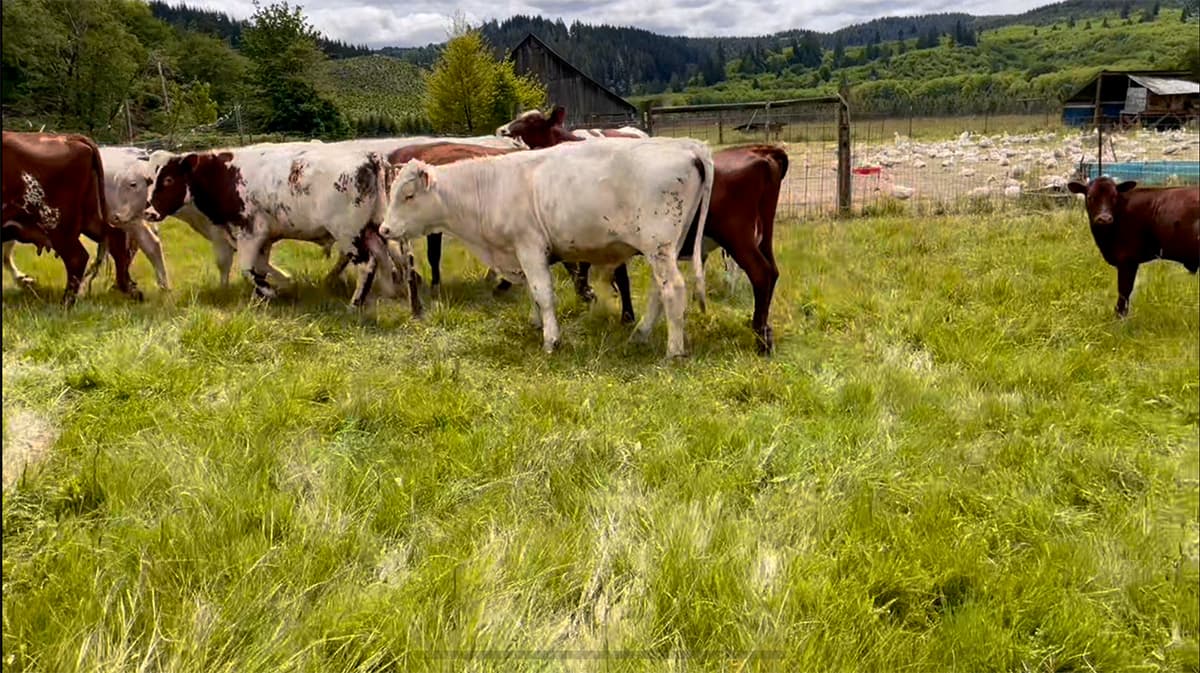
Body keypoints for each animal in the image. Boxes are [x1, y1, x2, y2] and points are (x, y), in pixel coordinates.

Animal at [2, 130, 141, 305]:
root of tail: (70, 138)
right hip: (90, 217)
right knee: (116, 239)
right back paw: (130, 289)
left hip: (56, 225)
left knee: (77, 257)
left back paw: (66, 302)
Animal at [144, 143, 419, 314]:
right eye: (149, 179)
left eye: (168, 179)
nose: (149, 212)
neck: (224, 175)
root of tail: (369, 157)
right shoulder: (263, 238)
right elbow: (260, 266)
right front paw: (273, 289)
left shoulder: (250, 232)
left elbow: (247, 269)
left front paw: (270, 291)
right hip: (371, 228)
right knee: (382, 256)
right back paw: (388, 292)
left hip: (348, 233)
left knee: (367, 263)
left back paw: (355, 303)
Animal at [379, 137, 714, 357]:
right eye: (392, 192)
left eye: (408, 195)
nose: (384, 229)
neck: (491, 185)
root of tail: (687, 145)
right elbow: (533, 292)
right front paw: (536, 322)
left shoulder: (529, 246)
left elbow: (543, 293)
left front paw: (551, 339)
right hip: (667, 249)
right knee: (660, 291)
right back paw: (641, 334)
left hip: (658, 246)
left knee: (673, 289)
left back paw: (674, 350)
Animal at [498, 107, 789, 353]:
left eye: (531, 121)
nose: (502, 130)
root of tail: (762, 152)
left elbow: (593, 272)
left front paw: (612, 308)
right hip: (762, 235)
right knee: (773, 271)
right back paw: (765, 332)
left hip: (736, 236)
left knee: (761, 274)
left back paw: (760, 337)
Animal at [1067, 177, 1200, 317]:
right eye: (1091, 197)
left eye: (1114, 196)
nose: (1105, 218)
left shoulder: (1127, 260)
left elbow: (1124, 293)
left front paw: (1119, 318)